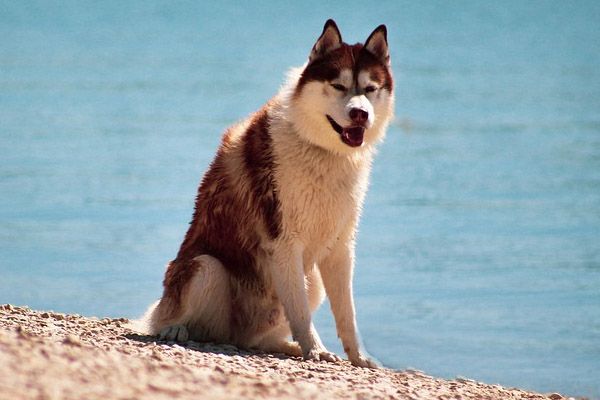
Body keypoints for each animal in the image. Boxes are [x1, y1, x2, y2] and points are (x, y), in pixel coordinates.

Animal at [139, 19, 394, 368]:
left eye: (369, 89)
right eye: (338, 86)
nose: (360, 114)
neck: (321, 150)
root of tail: (237, 336)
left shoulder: (341, 247)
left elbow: (347, 315)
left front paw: (359, 357)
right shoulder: (284, 241)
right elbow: (301, 312)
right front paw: (315, 350)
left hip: (309, 281)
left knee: (260, 338)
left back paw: (284, 345)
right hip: (205, 268)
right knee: (178, 316)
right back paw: (175, 328)